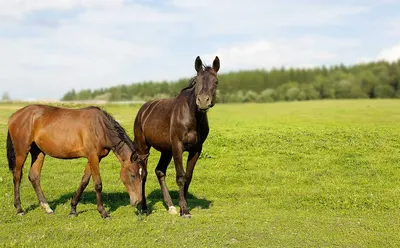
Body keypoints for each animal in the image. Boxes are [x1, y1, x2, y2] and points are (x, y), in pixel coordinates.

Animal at [7, 103, 143, 218]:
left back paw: (47, 208)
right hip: (22, 151)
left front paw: (73, 209)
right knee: (17, 176)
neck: (100, 127)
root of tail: (15, 115)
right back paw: (19, 209)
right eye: (133, 175)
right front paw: (103, 212)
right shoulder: (93, 157)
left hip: (38, 152)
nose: (138, 201)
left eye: (144, 175)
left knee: (34, 176)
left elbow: (84, 182)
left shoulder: (95, 158)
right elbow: (98, 184)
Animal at [134, 55, 222, 217]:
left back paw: (170, 206)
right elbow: (180, 177)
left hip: (166, 150)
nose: (203, 101)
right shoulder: (177, 147)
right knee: (143, 173)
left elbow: (188, 176)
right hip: (143, 148)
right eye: (196, 81)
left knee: (160, 171)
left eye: (216, 81)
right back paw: (143, 207)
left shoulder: (196, 149)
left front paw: (182, 207)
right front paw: (185, 210)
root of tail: (143, 110)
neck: (192, 117)